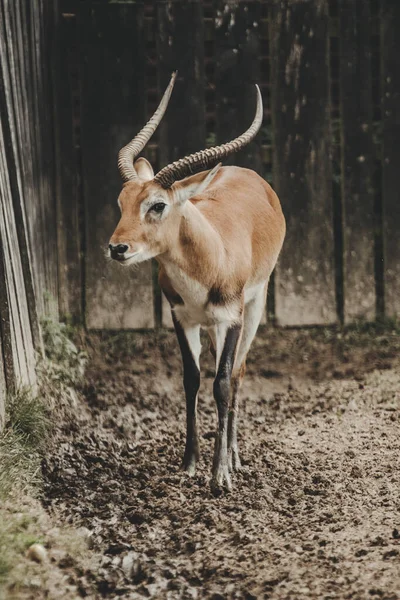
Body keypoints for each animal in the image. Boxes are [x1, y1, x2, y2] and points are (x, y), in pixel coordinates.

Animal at [108, 72, 286, 492]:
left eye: (157, 204)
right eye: (122, 202)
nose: (117, 248)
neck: (208, 262)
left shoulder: (232, 318)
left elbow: (221, 383)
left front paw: (219, 474)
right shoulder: (182, 318)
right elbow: (191, 379)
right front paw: (190, 463)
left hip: (253, 308)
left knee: (237, 373)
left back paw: (234, 457)